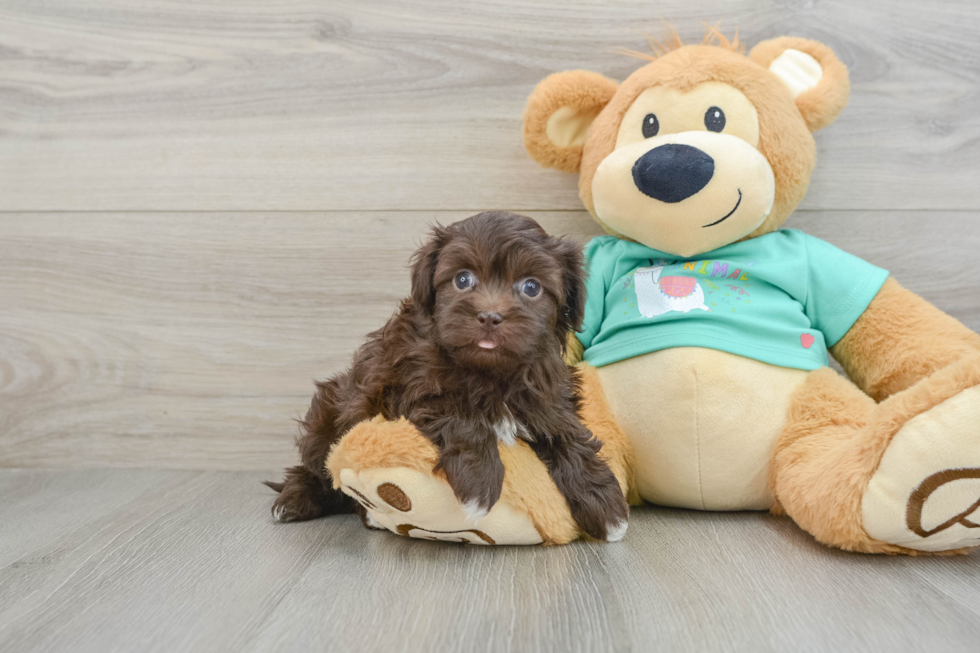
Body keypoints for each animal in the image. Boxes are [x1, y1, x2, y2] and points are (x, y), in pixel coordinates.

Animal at [264, 211, 628, 536]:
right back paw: (296, 500)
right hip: (326, 416)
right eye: (463, 279)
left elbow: (566, 432)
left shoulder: (547, 394)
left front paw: (603, 500)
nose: (490, 316)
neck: (490, 371)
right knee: (316, 468)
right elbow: (460, 413)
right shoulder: (401, 386)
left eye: (531, 287)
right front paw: (480, 482)